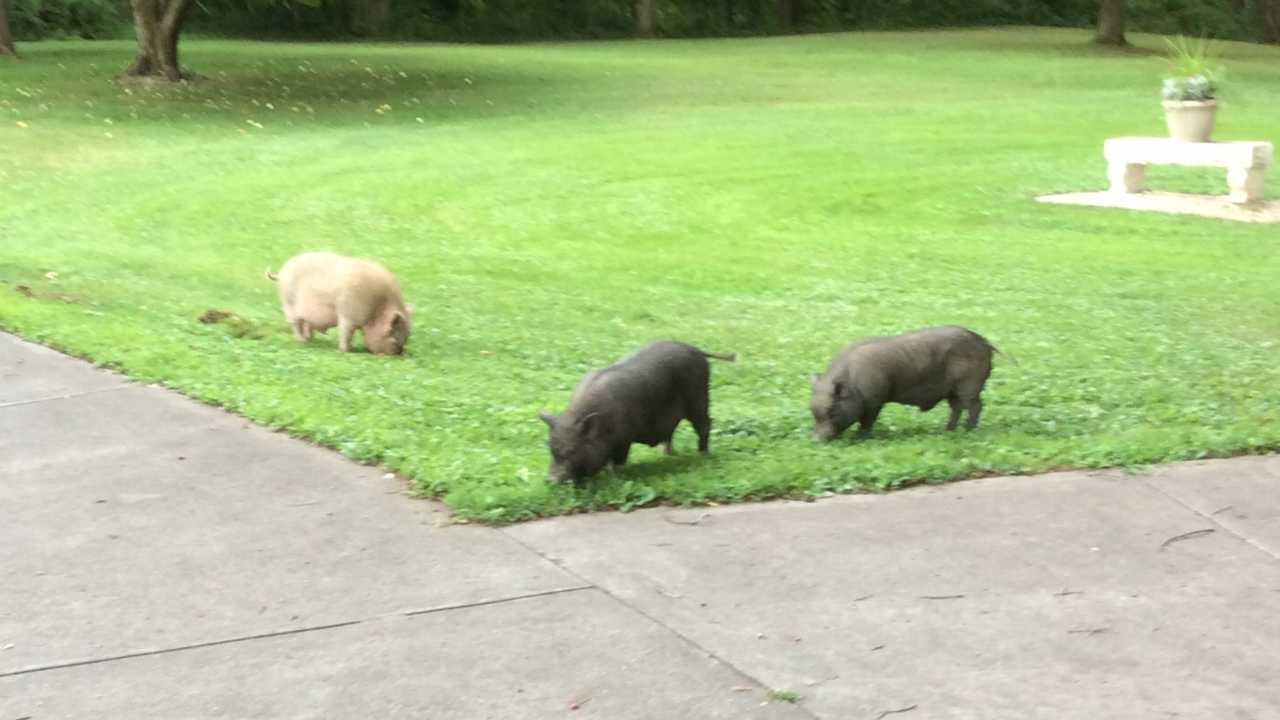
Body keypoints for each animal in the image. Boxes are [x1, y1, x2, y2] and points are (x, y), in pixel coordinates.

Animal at [265, 251, 411, 355]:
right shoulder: (347, 315)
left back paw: (310, 339)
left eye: (407, 335)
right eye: (391, 332)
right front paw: (345, 350)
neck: (377, 308)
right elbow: (346, 333)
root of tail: (281, 271)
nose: (400, 353)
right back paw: (302, 341)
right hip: (288, 302)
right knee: (295, 323)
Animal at [539, 341, 736, 484]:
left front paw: (614, 477)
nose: (550, 480)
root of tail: (695, 349)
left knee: (706, 424)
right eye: (550, 448)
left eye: (572, 450)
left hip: (698, 399)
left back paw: (702, 454)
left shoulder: (624, 439)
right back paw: (667, 454)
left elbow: (618, 461)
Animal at [810, 326, 999, 441]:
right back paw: (948, 430)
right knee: (957, 408)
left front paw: (859, 438)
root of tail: (984, 342)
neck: (853, 383)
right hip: (952, 391)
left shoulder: (874, 402)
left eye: (832, 410)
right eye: (813, 411)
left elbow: (867, 422)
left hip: (969, 386)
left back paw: (968, 431)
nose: (816, 440)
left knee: (975, 406)